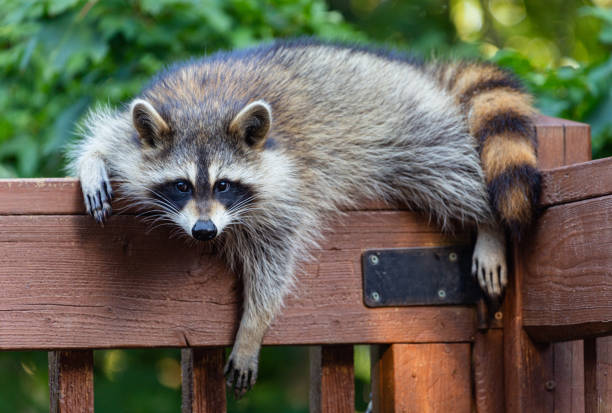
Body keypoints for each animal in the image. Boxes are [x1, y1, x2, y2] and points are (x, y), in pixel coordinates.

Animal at [68, 39, 540, 396]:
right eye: (182, 185)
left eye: (223, 185)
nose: (204, 231)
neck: (205, 105)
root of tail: (421, 71)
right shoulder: (139, 130)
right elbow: (108, 136)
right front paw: (93, 162)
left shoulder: (287, 187)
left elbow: (274, 261)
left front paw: (253, 326)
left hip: (408, 129)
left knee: (451, 173)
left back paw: (488, 222)